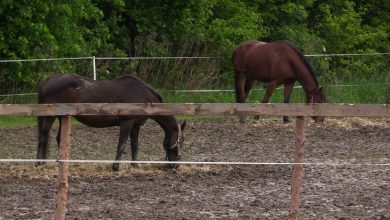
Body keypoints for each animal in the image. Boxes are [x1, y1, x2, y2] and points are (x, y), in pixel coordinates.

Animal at [37, 74, 187, 172]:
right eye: (180, 141)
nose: (176, 165)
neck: (143, 97)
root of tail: (47, 80)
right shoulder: (126, 123)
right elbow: (121, 145)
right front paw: (116, 167)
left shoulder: (136, 126)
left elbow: (134, 146)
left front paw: (135, 166)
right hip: (50, 117)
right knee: (43, 136)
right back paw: (39, 163)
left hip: (63, 117)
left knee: (58, 138)